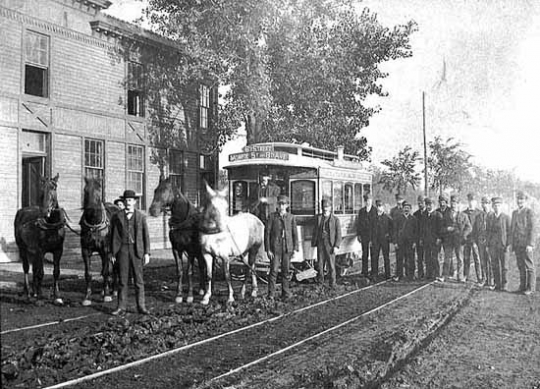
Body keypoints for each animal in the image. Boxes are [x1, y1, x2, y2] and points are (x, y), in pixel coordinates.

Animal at [13, 173, 66, 304]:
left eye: (54, 187)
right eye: (42, 189)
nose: (46, 211)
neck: (51, 226)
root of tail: (22, 211)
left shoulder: (58, 250)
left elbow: (56, 272)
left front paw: (57, 296)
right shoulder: (41, 250)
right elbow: (41, 272)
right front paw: (40, 297)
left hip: (33, 251)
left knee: (34, 269)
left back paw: (34, 291)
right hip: (23, 248)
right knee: (26, 268)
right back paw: (27, 293)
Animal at [79, 177, 119, 306]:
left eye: (99, 189)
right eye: (85, 190)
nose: (91, 209)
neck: (94, 224)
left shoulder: (106, 250)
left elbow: (106, 272)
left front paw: (107, 295)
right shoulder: (86, 251)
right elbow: (88, 273)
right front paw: (87, 297)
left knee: (114, 269)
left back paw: (114, 290)